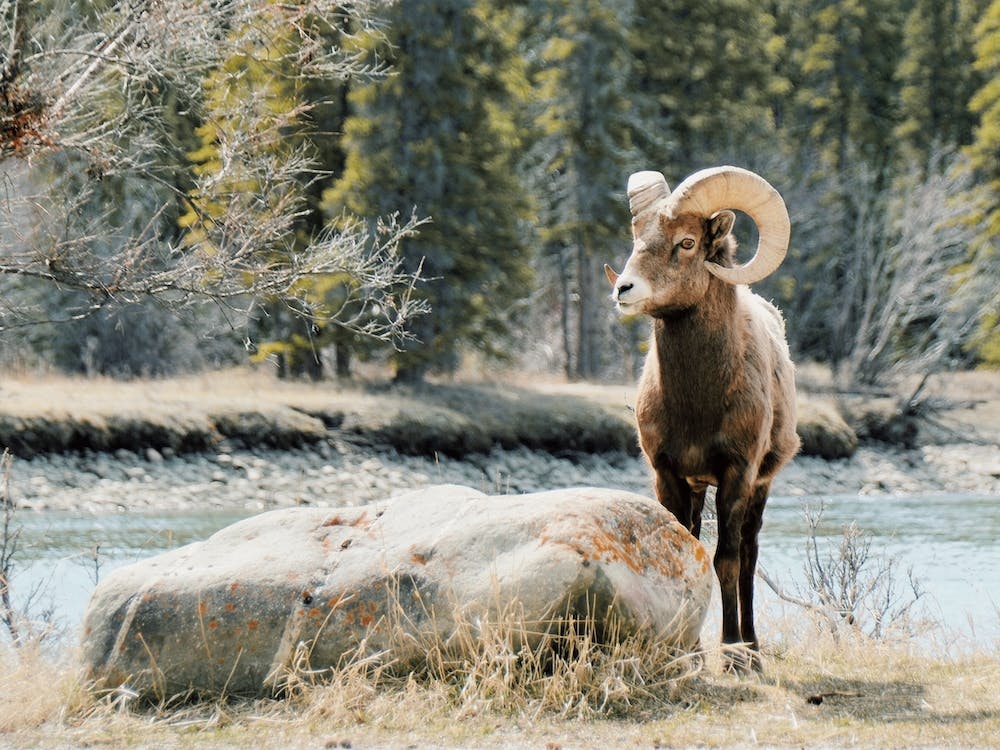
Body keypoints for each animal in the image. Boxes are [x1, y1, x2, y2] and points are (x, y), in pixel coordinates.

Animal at [604, 166, 800, 671]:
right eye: (637, 238)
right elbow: (685, 551)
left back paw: (752, 649)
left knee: (748, 556)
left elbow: (726, 560)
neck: (698, 403)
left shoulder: (737, 474)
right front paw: (688, 655)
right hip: (697, 489)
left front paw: (730, 654)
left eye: (687, 242)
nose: (623, 290)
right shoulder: (669, 475)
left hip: (760, 488)